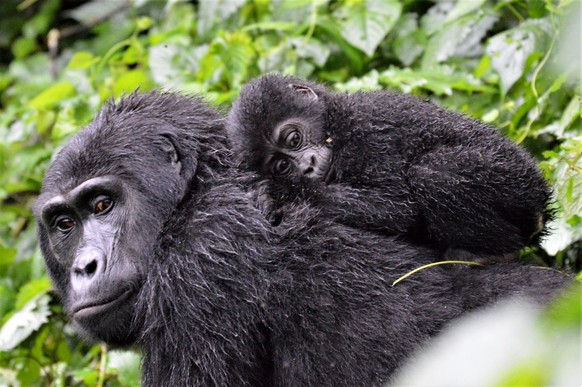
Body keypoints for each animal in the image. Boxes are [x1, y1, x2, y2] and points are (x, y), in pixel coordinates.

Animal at [227, 73, 552, 260]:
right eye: (282, 165)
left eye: (293, 138)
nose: (306, 167)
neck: (334, 122)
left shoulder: (366, 129)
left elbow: (396, 206)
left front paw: (279, 192)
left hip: (516, 183)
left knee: (435, 173)